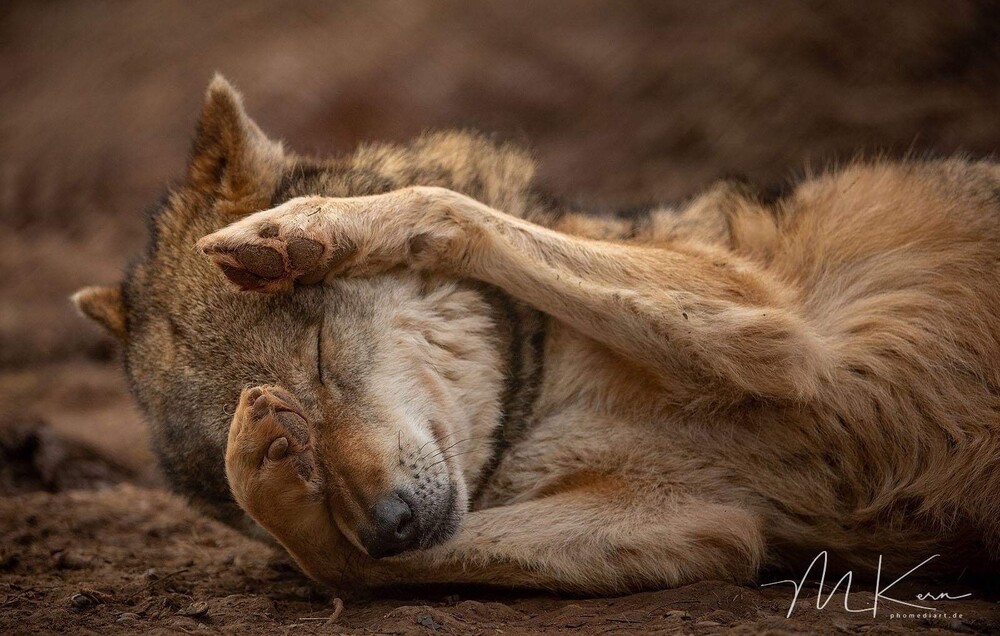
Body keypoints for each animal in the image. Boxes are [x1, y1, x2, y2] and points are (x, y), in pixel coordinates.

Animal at [74, 78, 1000, 592]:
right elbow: (340, 565)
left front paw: (306, 230)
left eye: (321, 360)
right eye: (294, 420)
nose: (389, 523)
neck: (539, 392)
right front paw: (277, 488)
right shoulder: (702, 525)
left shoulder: (768, 327)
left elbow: (442, 204)